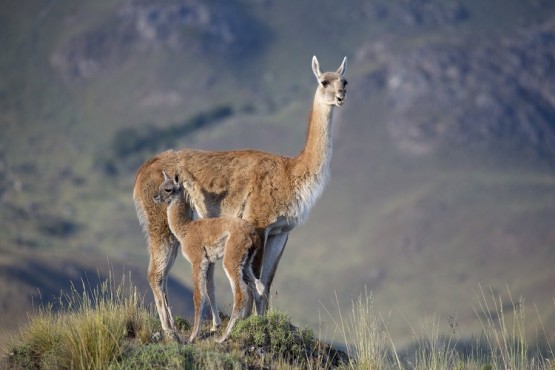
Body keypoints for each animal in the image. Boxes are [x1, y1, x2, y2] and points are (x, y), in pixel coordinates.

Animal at [152, 172, 264, 342]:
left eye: (168, 189)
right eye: (160, 186)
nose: (155, 196)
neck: (186, 230)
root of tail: (252, 234)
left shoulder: (197, 259)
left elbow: (198, 296)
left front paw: (192, 337)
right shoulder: (210, 262)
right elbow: (210, 289)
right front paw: (214, 325)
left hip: (231, 259)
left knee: (241, 295)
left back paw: (223, 337)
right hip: (245, 263)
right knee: (258, 287)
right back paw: (258, 322)